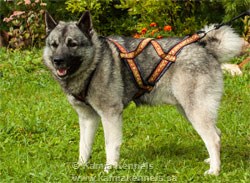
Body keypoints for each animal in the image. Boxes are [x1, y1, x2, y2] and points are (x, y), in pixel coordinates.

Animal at [43, 10, 244, 175]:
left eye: (73, 44)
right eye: (54, 44)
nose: (57, 60)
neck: (94, 63)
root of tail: (206, 49)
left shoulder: (110, 114)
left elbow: (110, 145)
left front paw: (110, 169)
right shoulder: (87, 118)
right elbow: (83, 145)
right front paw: (81, 166)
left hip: (195, 110)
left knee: (213, 138)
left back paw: (215, 170)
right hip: (189, 110)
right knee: (216, 133)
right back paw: (212, 161)